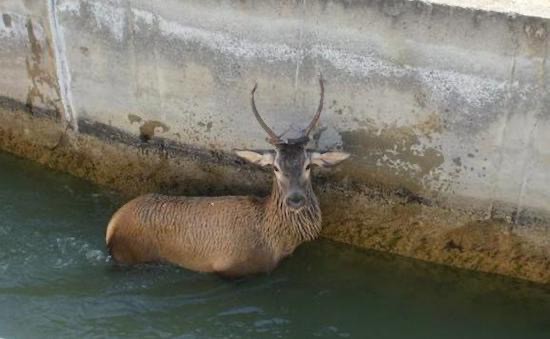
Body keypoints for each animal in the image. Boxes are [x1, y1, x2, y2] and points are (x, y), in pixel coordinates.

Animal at [105, 77, 352, 278]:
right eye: (275, 168)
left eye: (308, 165)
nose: (295, 199)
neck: (280, 240)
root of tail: (111, 226)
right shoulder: (232, 268)